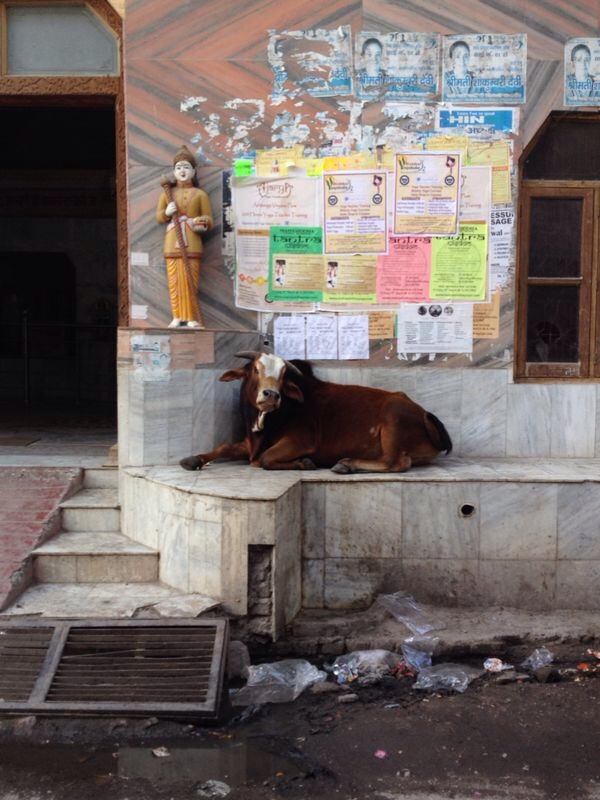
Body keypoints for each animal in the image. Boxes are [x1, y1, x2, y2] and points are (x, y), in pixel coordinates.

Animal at [180, 351, 452, 473]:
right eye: (255, 369)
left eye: (283, 375)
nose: (271, 395)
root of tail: (423, 413)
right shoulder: (249, 442)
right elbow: (224, 446)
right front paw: (195, 459)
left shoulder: (300, 441)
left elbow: (264, 459)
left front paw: (304, 463)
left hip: (393, 420)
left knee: (395, 462)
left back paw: (347, 464)